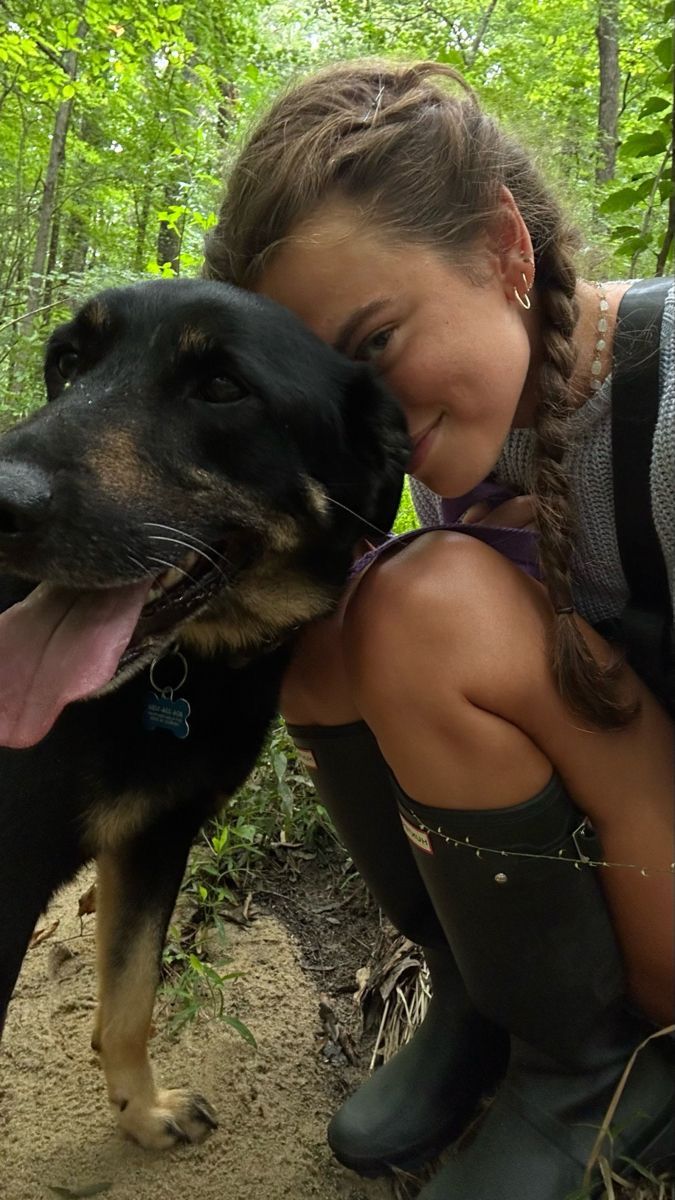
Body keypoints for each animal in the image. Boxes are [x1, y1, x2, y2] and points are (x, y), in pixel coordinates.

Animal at [0, 276, 403, 1147]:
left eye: (222, 387)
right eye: (68, 363)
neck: (186, 669)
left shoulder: (154, 837)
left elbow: (130, 994)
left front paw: (141, 1110)